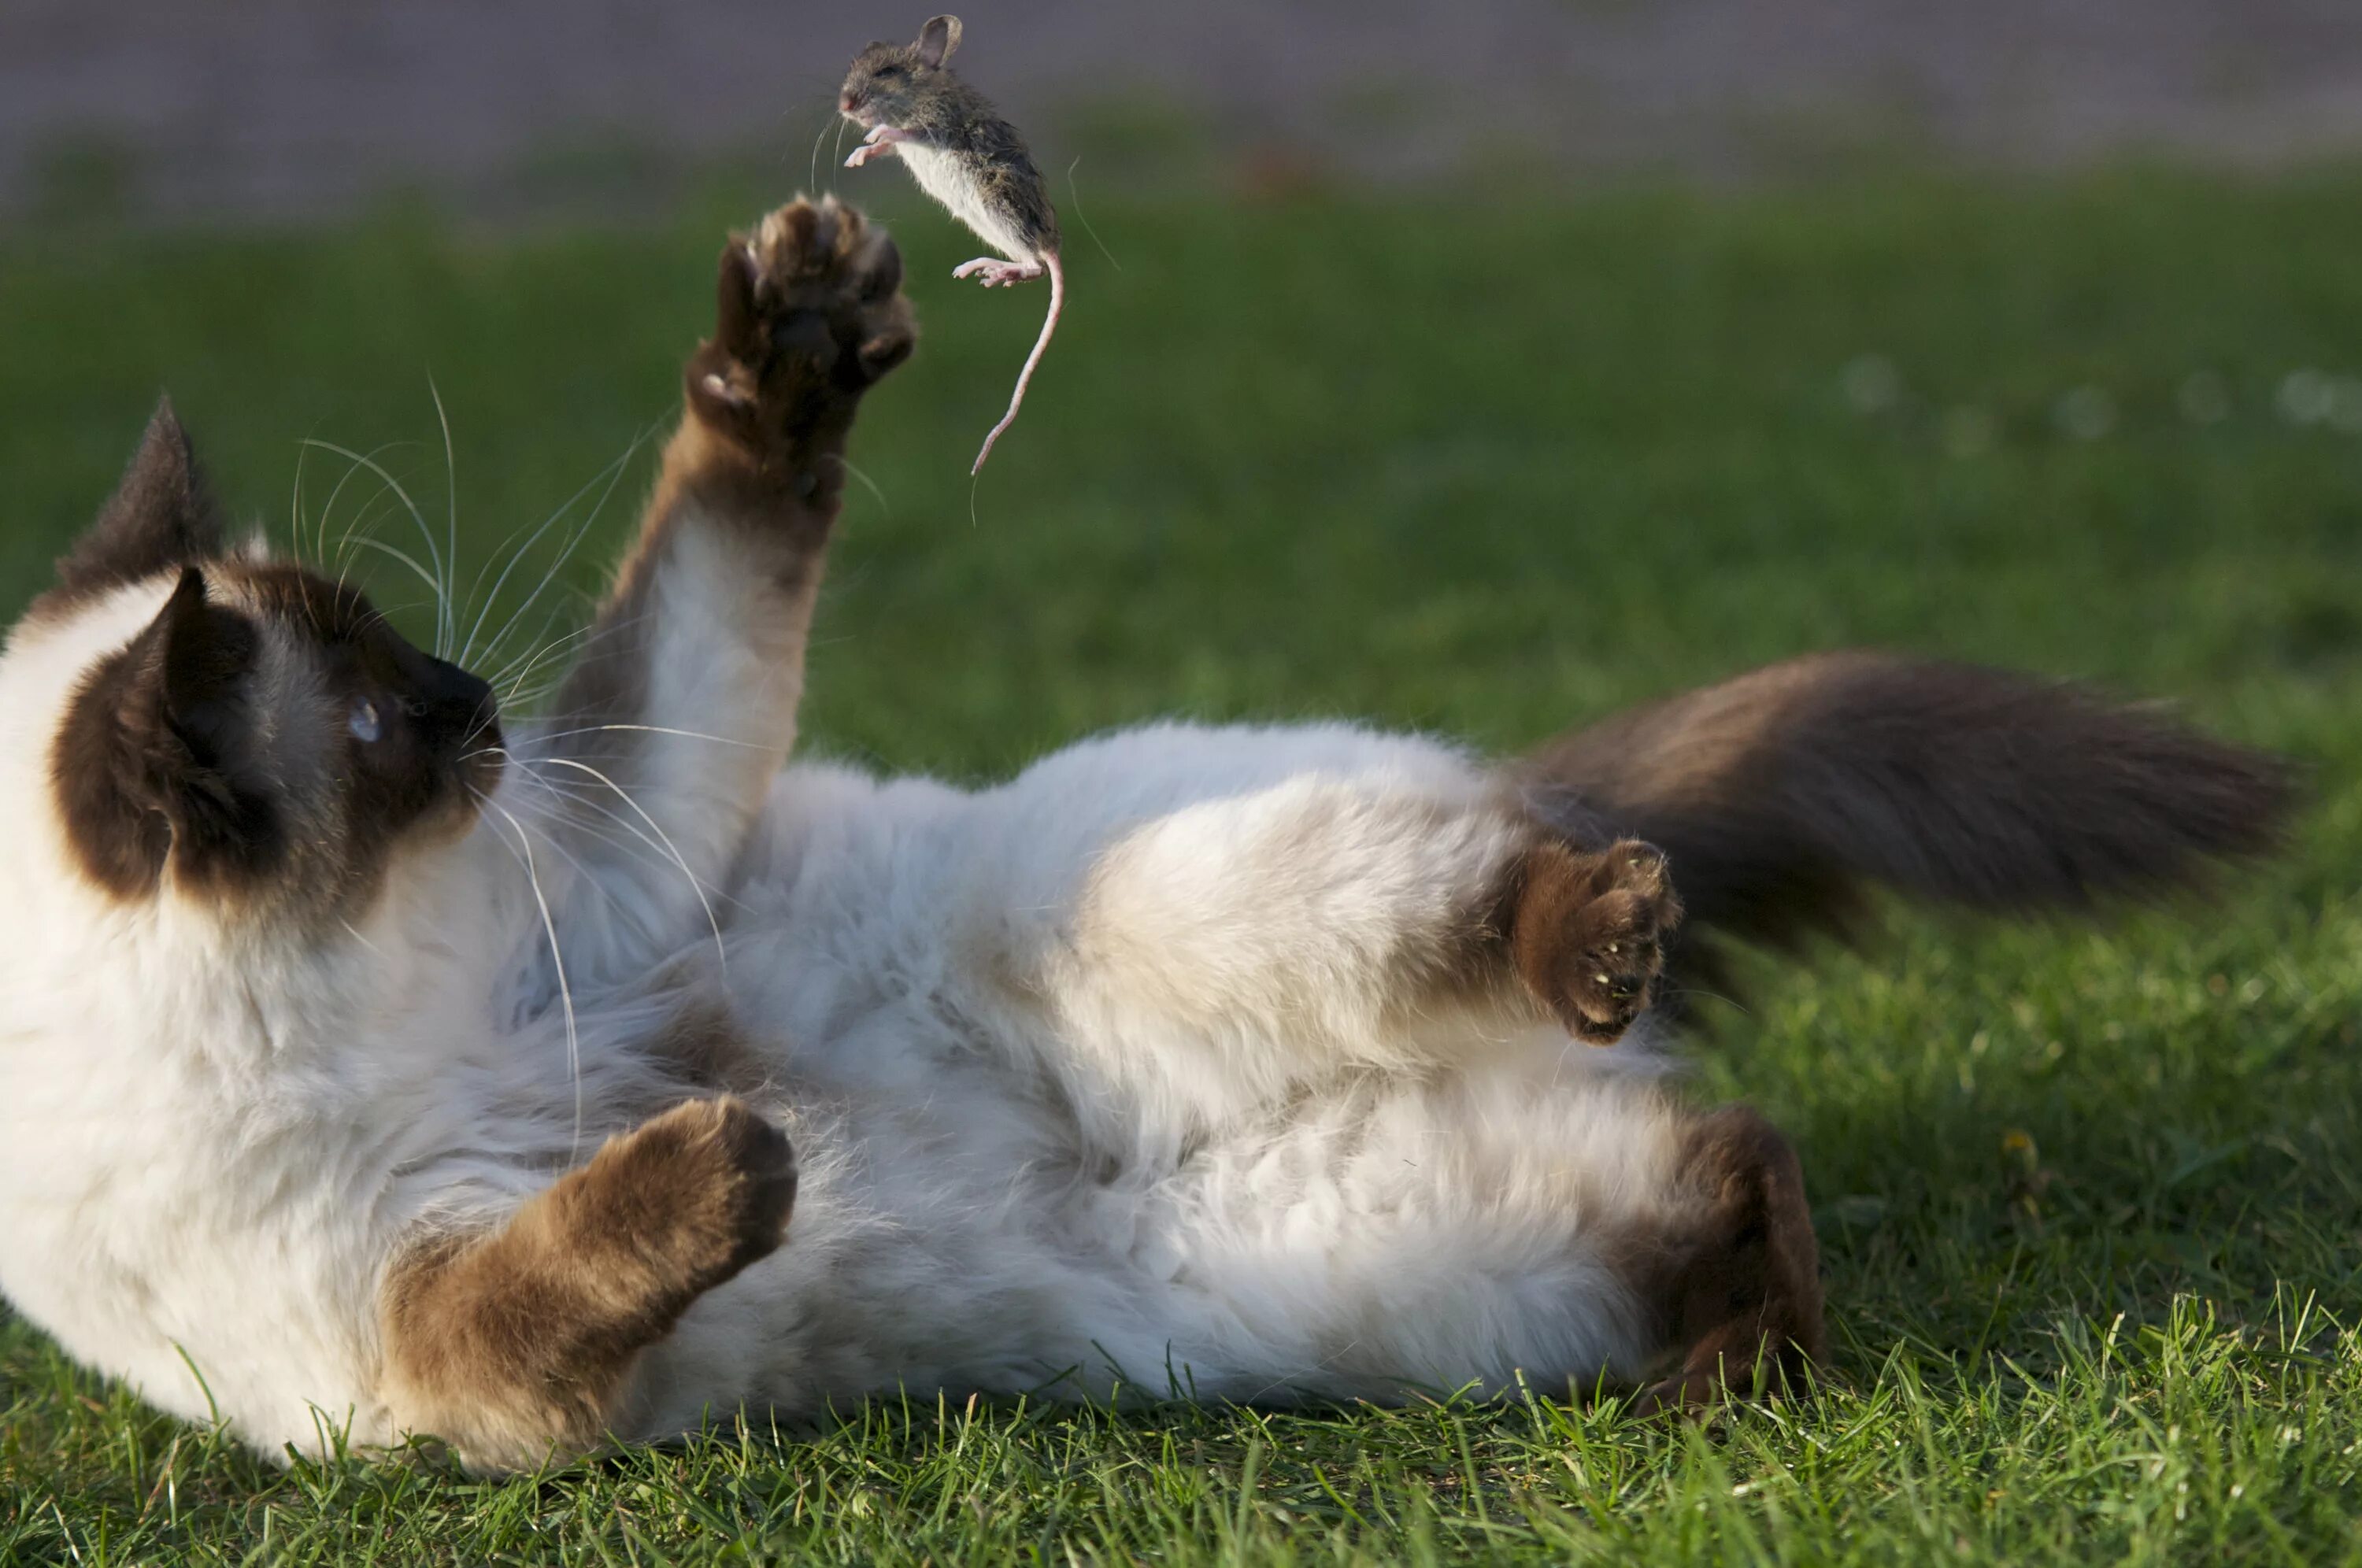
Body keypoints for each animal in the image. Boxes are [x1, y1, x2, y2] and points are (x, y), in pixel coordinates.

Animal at [0, 196, 2286, 1474]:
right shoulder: (416, 1348)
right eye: (382, 714)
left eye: (403, 657)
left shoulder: (620, 848)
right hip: (1387, 1266)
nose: (478, 701)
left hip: (1143, 913)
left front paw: (797, 329)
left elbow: (715, 556)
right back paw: (1732, 1369)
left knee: (1545, 941)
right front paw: (739, 1161)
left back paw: (1603, 950)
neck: (386, 986)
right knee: (1729, 1154)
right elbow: (554, 1271)